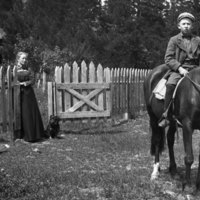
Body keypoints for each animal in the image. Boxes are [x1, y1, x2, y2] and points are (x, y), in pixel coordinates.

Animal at [144, 63, 200, 191]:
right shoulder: (187, 125)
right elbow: (189, 157)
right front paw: (187, 185)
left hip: (173, 123)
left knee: (169, 140)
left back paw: (173, 170)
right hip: (153, 117)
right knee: (157, 140)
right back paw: (155, 171)